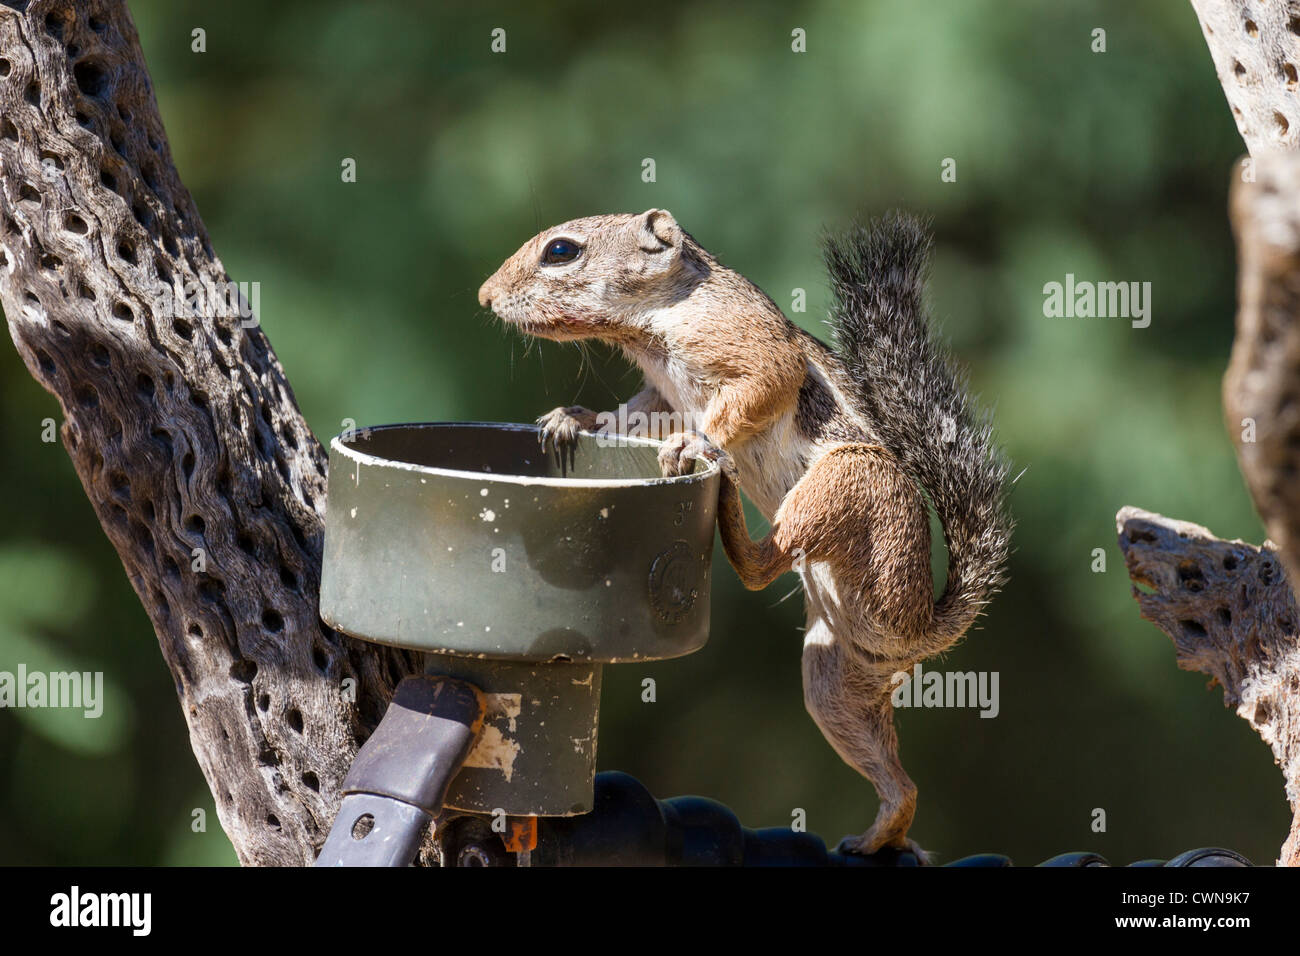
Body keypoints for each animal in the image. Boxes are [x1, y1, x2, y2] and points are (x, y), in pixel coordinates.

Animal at [478, 210, 1013, 858]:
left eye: (561, 251)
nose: (484, 297)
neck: (651, 324)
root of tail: (916, 625)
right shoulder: (661, 392)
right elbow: (632, 416)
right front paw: (573, 419)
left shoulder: (745, 342)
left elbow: (765, 381)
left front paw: (694, 440)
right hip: (835, 682)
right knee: (900, 782)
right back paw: (881, 836)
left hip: (850, 482)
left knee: (763, 568)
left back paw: (728, 503)